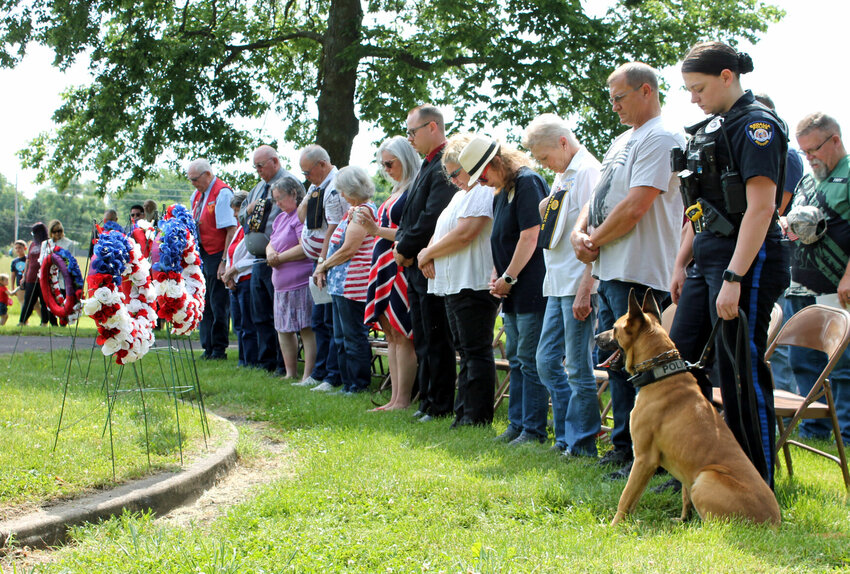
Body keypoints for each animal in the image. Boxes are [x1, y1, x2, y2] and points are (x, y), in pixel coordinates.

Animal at [592, 292, 780, 528]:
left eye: (615, 328)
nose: (596, 336)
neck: (660, 373)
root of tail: (774, 523)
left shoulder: (644, 458)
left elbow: (626, 497)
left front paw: (614, 526)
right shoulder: (676, 466)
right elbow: (677, 497)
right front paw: (679, 519)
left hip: (705, 478)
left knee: (714, 527)